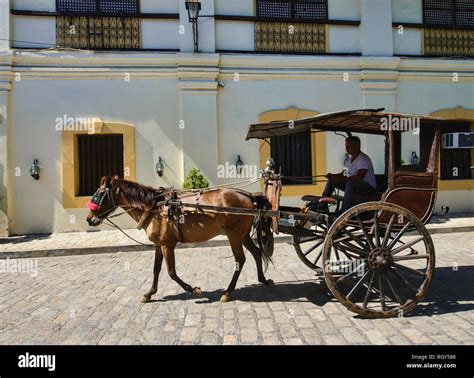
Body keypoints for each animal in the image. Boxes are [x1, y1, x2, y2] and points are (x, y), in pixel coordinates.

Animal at [85, 176, 274, 302]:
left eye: (98, 194)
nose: (89, 219)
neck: (155, 208)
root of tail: (250, 196)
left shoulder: (167, 245)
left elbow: (171, 272)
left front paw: (194, 290)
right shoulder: (159, 245)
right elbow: (156, 269)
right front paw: (149, 293)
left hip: (234, 234)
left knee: (240, 259)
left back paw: (228, 292)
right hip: (242, 235)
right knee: (257, 253)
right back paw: (263, 280)